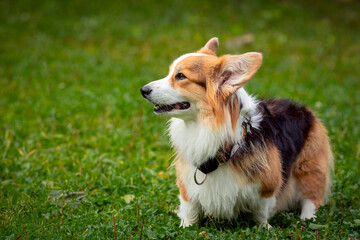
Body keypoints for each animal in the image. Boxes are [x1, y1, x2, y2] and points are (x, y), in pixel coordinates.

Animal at [140, 37, 332, 227]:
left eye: (180, 76)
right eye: (170, 72)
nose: (143, 90)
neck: (204, 126)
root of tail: (303, 108)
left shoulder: (268, 186)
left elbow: (261, 212)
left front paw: (265, 228)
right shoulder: (187, 184)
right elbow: (190, 209)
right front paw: (186, 226)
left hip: (309, 168)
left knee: (311, 199)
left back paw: (306, 219)